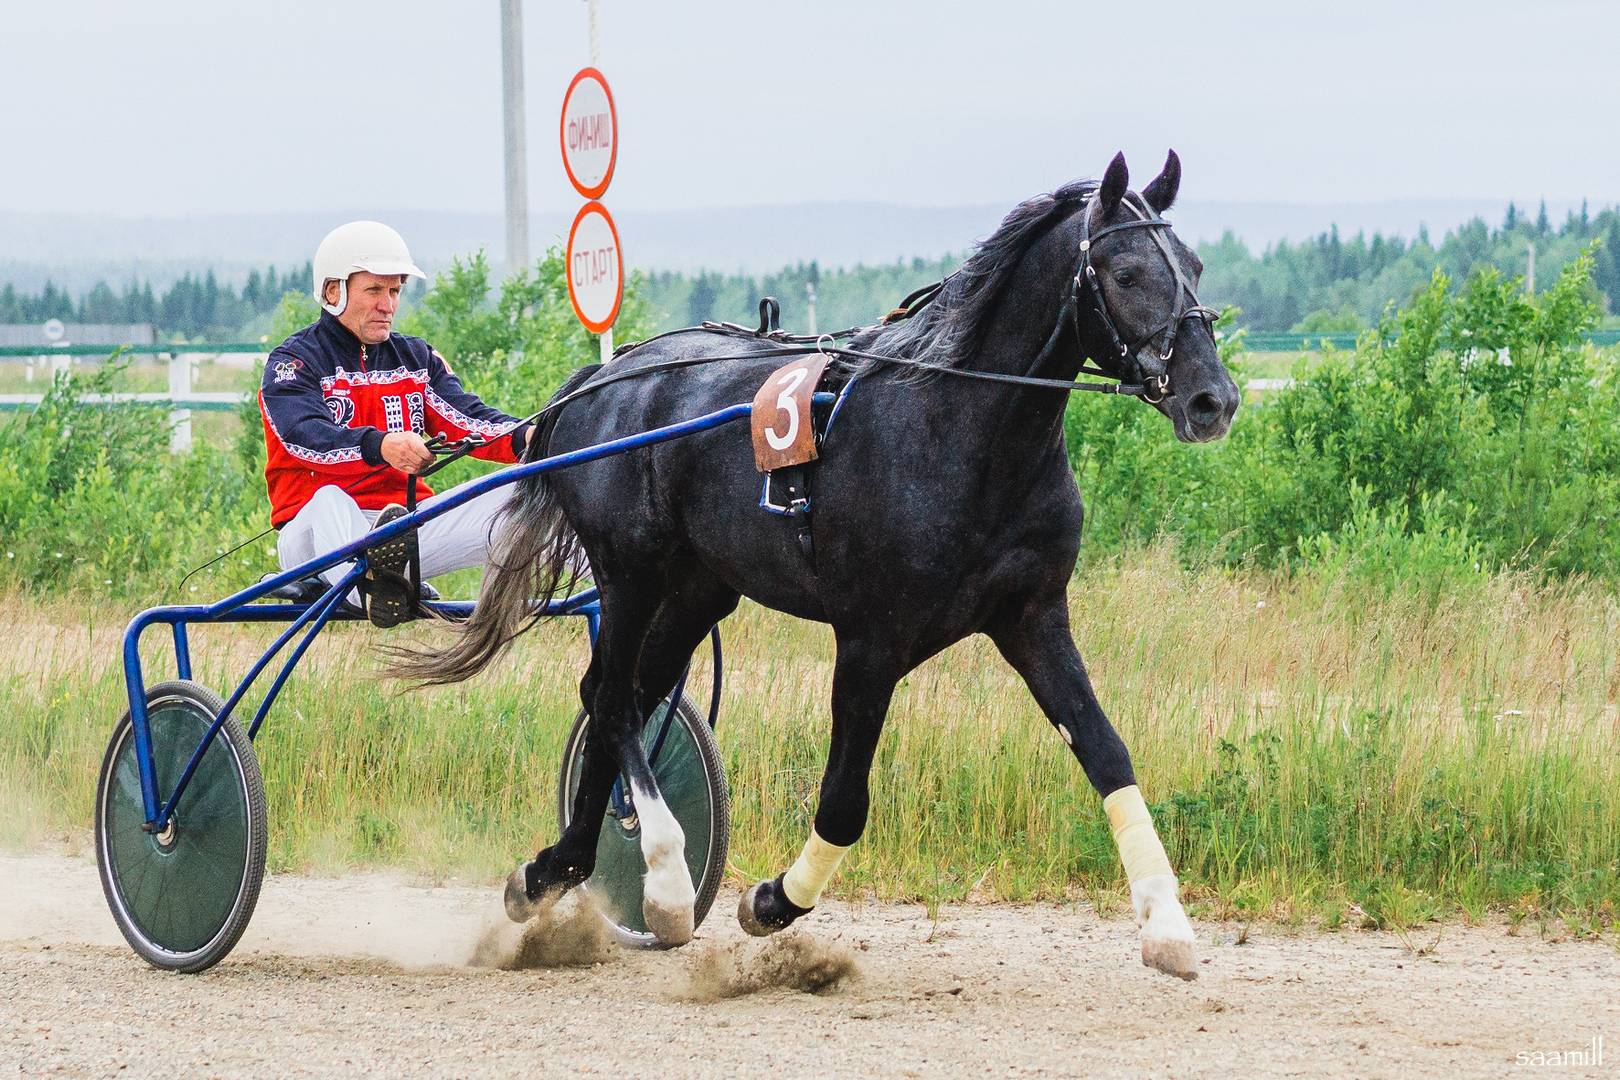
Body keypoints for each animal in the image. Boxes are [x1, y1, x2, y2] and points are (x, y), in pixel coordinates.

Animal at [408, 149, 1237, 977]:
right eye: (1126, 272)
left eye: (1194, 265)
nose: (1213, 399)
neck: (961, 429)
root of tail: (601, 379)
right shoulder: (871, 636)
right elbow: (843, 801)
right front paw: (774, 900)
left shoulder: (1032, 616)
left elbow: (1106, 752)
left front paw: (1167, 925)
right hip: (630, 573)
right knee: (612, 700)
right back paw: (666, 881)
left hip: (697, 589)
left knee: (624, 698)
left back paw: (559, 869)